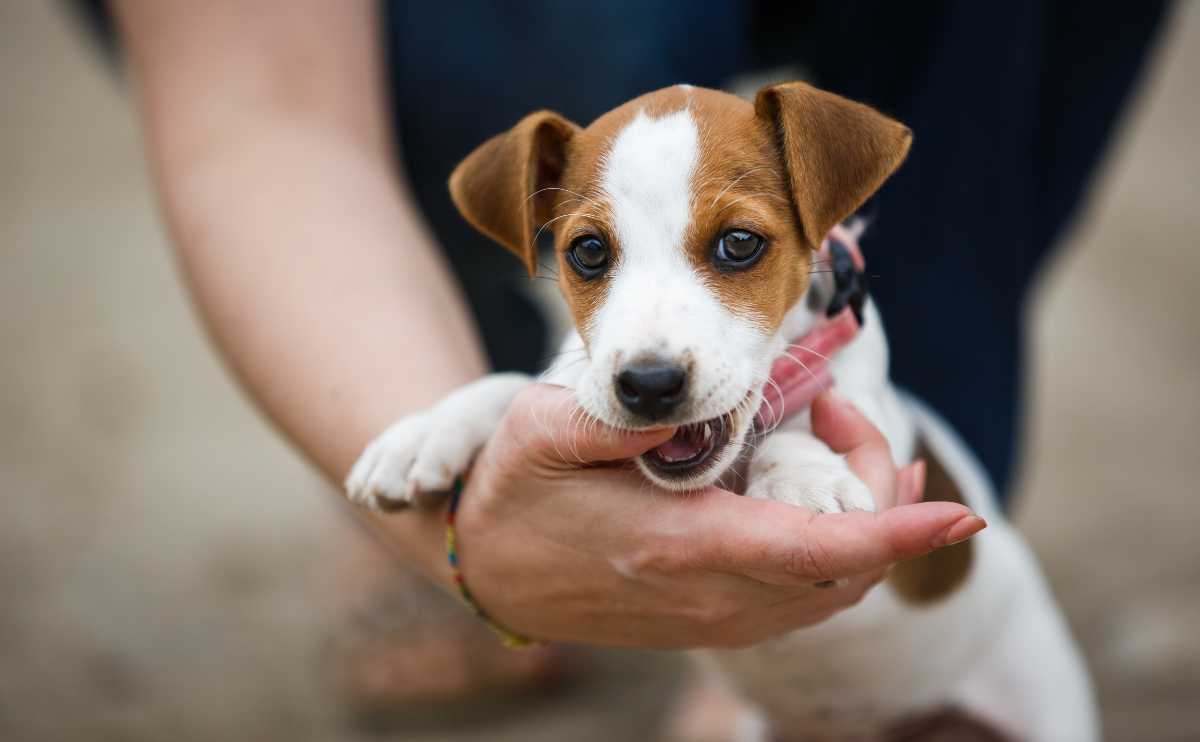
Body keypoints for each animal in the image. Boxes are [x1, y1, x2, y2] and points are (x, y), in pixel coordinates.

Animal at [345, 82, 1099, 739]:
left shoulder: (873, 414)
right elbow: (514, 385)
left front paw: (803, 480)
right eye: (587, 251)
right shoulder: (576, 383)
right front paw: (424, 433)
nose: (649, 384)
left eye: (739, 243)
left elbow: (801, 422)